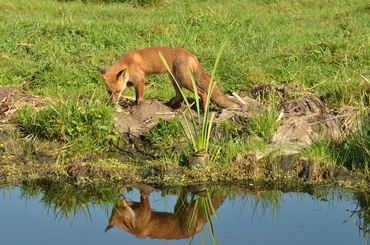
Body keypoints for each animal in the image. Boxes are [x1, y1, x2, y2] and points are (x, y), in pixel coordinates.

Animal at [97, 46, 240, 109]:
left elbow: (139, 98)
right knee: (180, 96)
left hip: (185, 81)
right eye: (109, 92)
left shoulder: (140, 80)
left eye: (117, 91)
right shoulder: (132, 82)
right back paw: (169, 104)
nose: (113, 103)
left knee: (203, 93)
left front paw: (137, 106)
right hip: (174, 80)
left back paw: (204, 111)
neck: (128, 64)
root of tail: (191, 55)